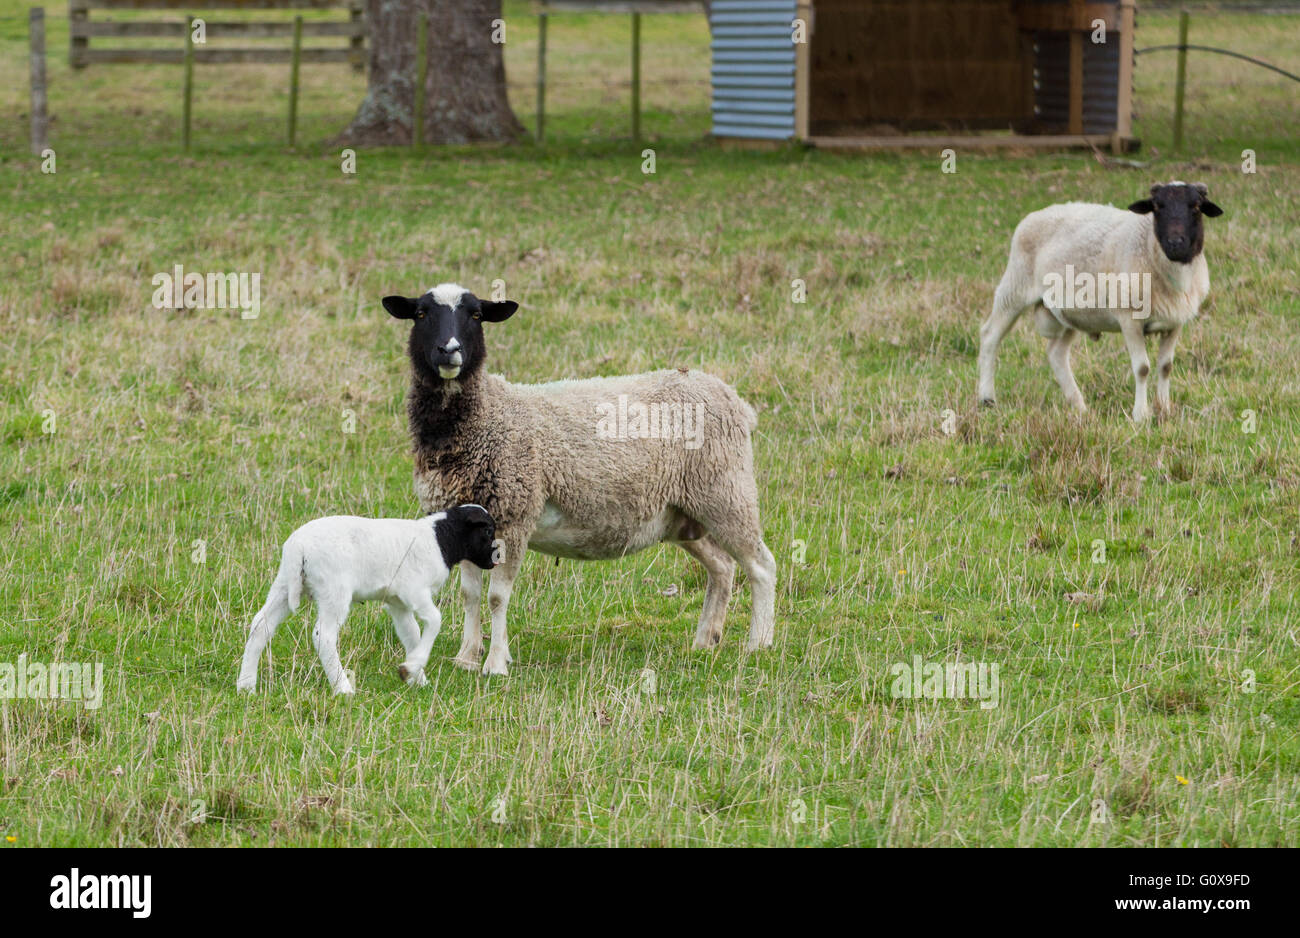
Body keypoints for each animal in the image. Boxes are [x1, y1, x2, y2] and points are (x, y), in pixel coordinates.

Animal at [235, 504, 497, 694]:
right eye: (487, 531)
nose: (496, 561)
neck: (441, 540)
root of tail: (299, 548)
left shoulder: (397, 603)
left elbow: (411, 634)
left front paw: (415, 676)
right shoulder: (414, 591)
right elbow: (435, 620)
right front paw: (413, 667)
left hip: (284, 585)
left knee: (260, 625)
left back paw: (246, 685)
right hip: (334, 591)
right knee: (323, 636)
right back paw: (343, 688)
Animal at [382, 283, 777, 676]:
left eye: (476, 315)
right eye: (421, 314)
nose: (449, 351)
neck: (486, 416)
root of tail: (735, 399)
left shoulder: (515, 516)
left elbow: (496, 597)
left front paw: (494, 664)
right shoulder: (468, 521)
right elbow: (470, 594)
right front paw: (466, 657)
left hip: (725, 491)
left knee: (761, 566)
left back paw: (758, 644)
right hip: (683, 514)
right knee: (722, 567)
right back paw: (705, 640)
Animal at [977, 181, 1224, 421]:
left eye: (1196, 207)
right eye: (1157, 207)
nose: (1175, 243)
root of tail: (1036, 214)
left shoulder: (1175, 322)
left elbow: (1166, 367)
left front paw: (1164, 410)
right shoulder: (1129, 318)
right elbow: (1142, 368)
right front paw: (1141, 415)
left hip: (1070, 314)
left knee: (1056, 353)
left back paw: (1079, 407)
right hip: (1015, 287)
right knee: (990, 335)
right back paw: (987, 399)